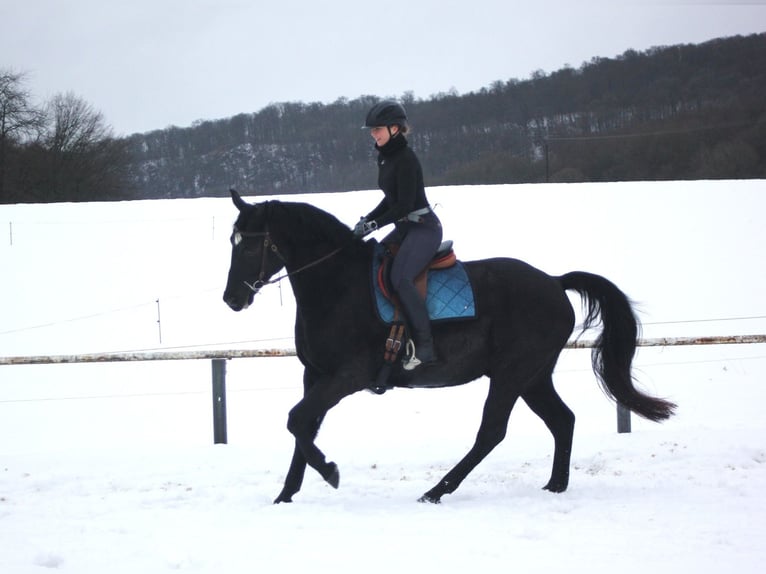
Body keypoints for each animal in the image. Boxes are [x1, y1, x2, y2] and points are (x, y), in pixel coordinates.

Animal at [222, 189, 676, 504]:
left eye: (250, 243)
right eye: (232, 242)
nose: (231, 298)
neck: (337, 285)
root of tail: (553, 281)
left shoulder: (347, 376)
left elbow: (297, 420)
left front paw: (329, 472)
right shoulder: (314, 374)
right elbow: (303, 426)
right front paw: (286, 494)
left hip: (512, 374)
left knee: (492, 432)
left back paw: (436, 491)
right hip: (533, 376)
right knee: (562, 420)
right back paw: (554, 486)